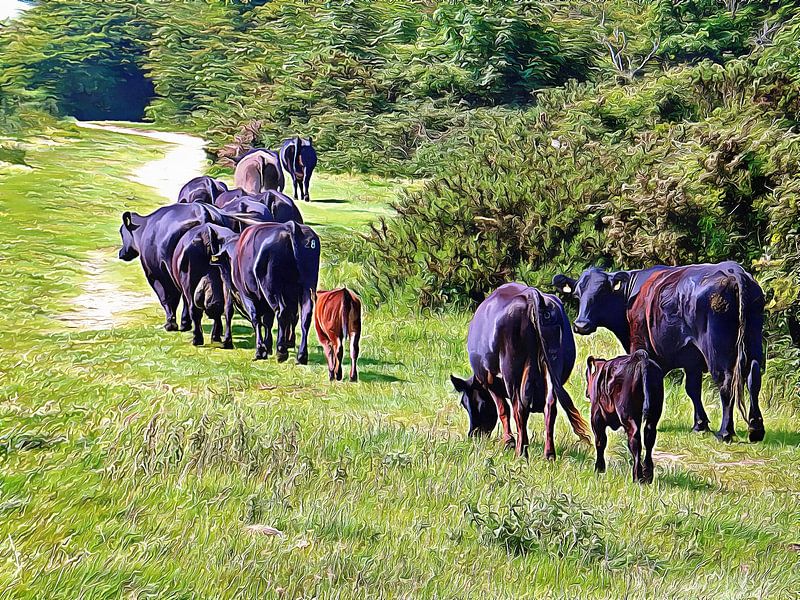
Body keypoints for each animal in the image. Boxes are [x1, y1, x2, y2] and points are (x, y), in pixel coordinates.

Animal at [211, 220, 320, 360]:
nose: (223, 277)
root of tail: (291, 226)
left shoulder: (246, 294)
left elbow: (253, 317)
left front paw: (260, 349)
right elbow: (268, 320)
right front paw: (267, 347)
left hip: (270, 288)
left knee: (281, 311)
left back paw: (281, 351)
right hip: (307, 287)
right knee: (305, 316)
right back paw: (301, 355)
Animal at [450, 284, 592, 458]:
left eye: (465, 403)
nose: (474, 434)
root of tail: (532, 295)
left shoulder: (490, 380)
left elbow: (503, 409)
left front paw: (508, 442)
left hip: (512, 371)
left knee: (519, 407)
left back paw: (521, 452)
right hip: (554, 366)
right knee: (550, 407)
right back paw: (549, 454)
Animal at [552, 260, 764, 442]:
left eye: (601, 293)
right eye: (577, 294)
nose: (581, 325)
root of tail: (733, 270)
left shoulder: (641, 348)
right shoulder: (692, 360)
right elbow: (692, 389)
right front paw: (700, 425)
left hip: (716, 349)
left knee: (726, 383)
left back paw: (725, 432)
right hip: (753, 342)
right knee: (754, 377)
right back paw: (756, 429)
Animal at [584, 346, 664, 482]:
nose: (586, 393)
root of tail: (640, 359)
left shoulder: (596, 416)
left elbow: (600, 441)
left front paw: (599, 468)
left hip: (628, 415)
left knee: (635, 439)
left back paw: (637, 476)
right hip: (654, 413)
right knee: (649, 437)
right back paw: (648, 474)